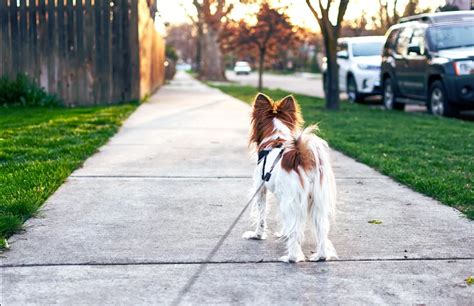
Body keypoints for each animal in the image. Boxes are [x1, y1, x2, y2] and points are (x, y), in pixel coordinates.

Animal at [243, 92, 338, 262]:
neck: (276, 138)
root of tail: (301, 156)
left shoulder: (261, 189)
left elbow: (261, 216)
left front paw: (257, 235)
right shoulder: (282, 196)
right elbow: (283, 221)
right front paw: (283, 233)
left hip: (292, 200)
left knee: (295, 231)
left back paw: (291, 257)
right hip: (317, 202)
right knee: (321, 230)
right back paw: (320, 256)